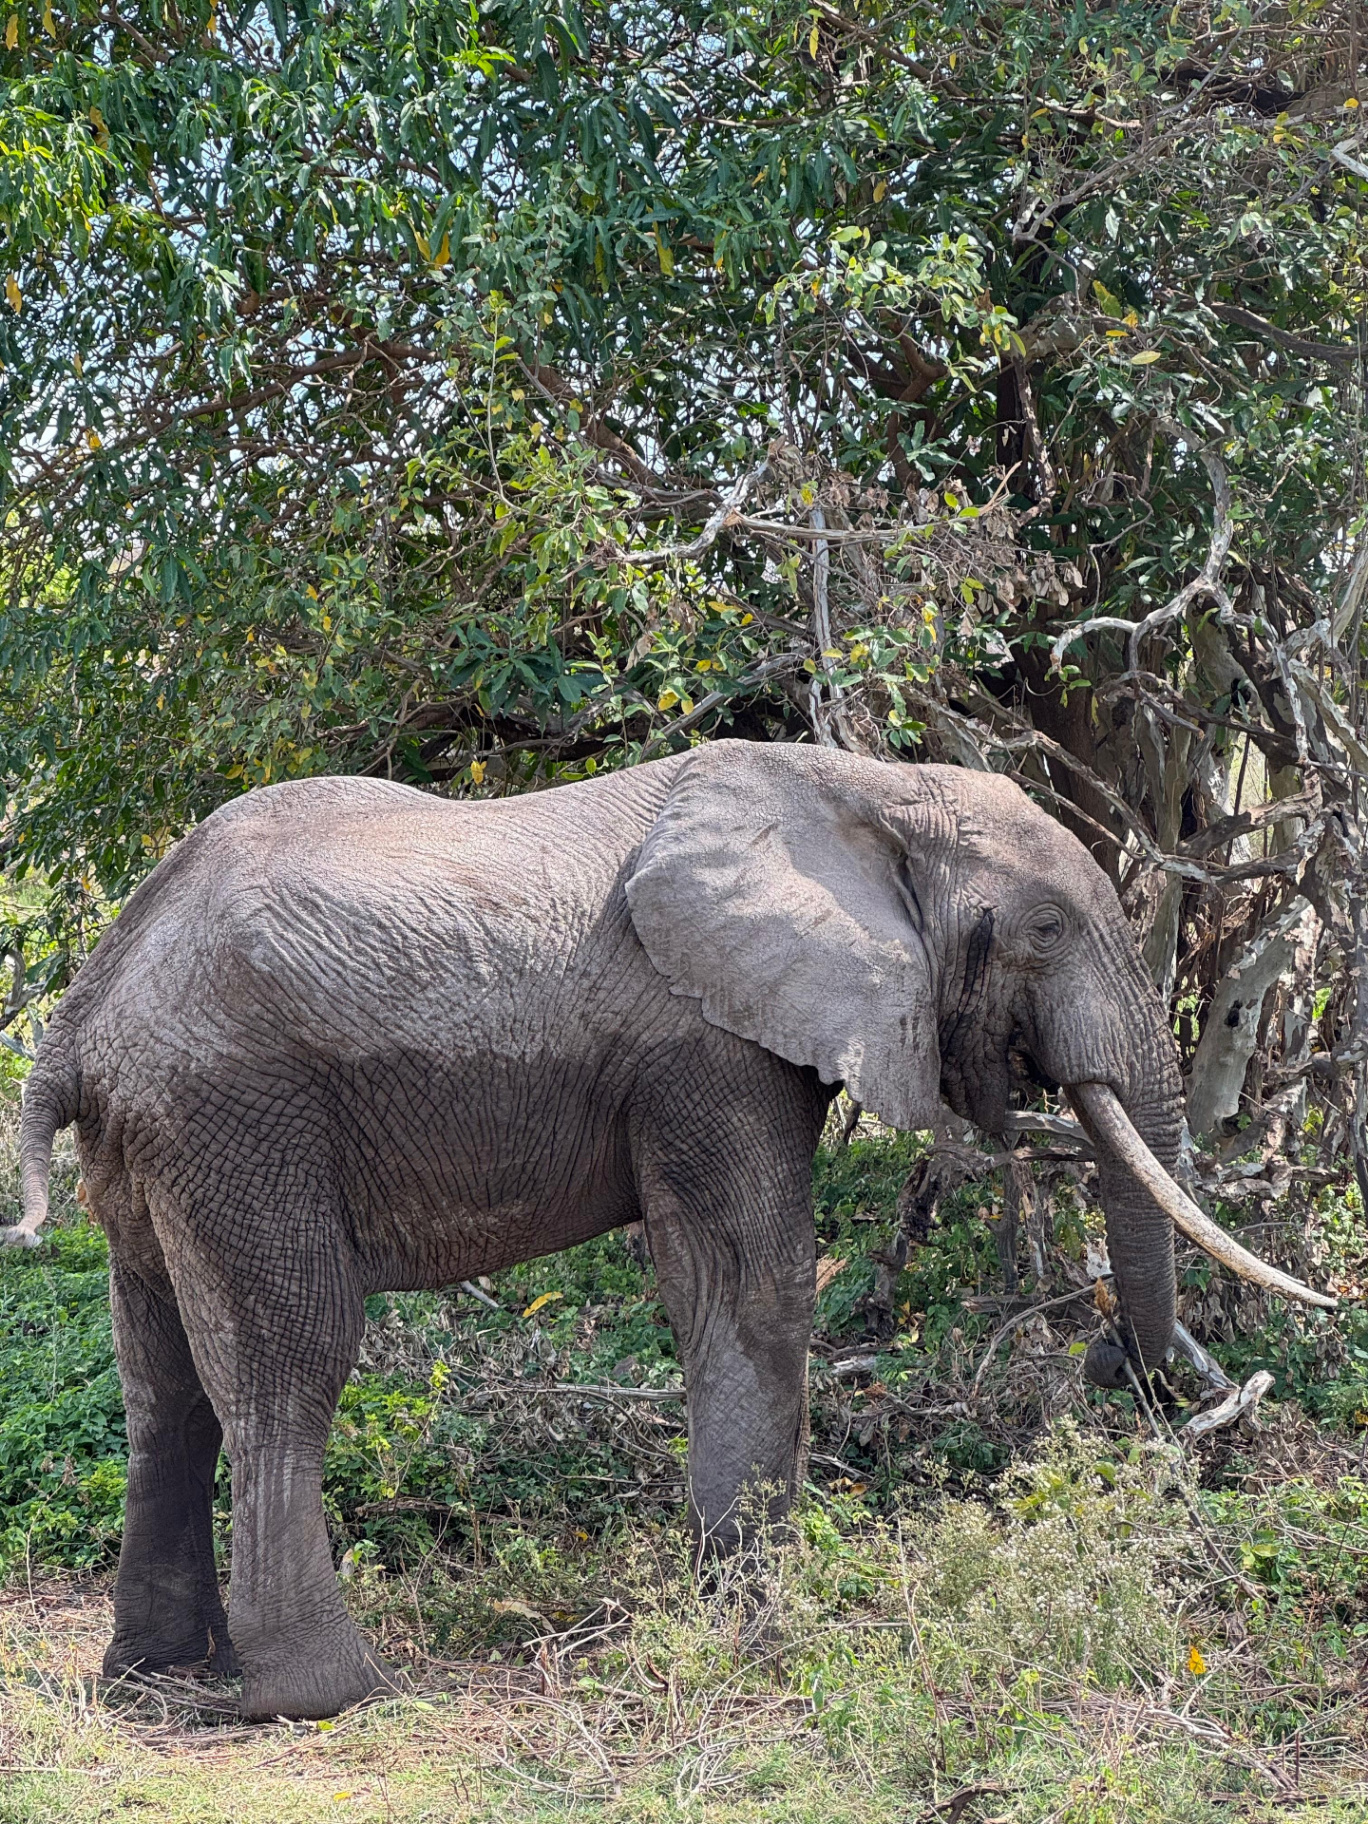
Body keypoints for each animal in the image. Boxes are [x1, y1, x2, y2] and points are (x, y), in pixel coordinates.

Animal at [6, 739, 1331, 1719]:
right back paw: (326, 1698)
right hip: (235, 1115)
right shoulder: (710, 1045)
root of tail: (80, 1016)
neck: (871, 789)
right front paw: (763, 1628)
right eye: (1047, 930)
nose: (1116, 1363)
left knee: (161, 1379)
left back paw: (159, 1679)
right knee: (289, 1368)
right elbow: (753, 1284)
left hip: (153, 1139)